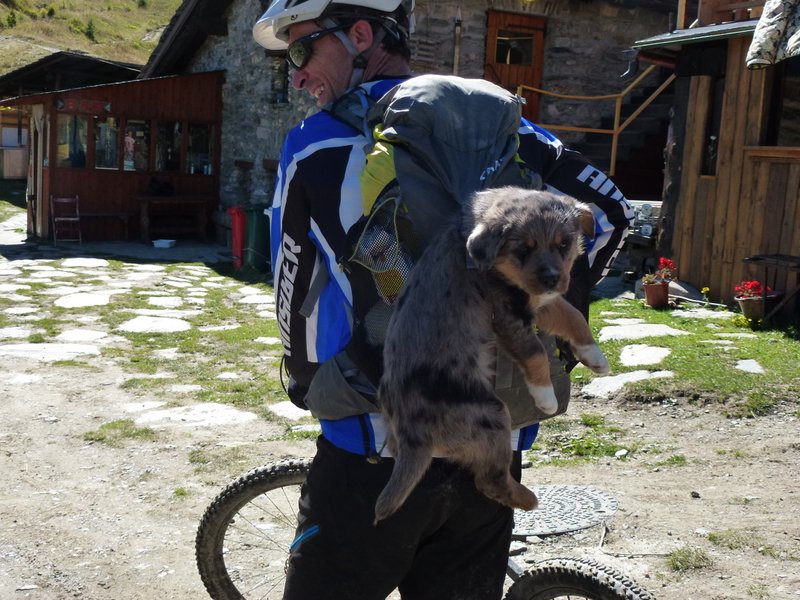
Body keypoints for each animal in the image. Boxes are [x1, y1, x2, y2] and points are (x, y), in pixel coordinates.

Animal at [376, 188, 608, 524]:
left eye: (564, 244)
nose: (552, 278)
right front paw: (546, 398)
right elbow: (535, 352)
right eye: (522, 250)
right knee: (489, 480)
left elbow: (573, 316)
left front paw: (596, 356)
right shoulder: (508, 315)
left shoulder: (537, 301)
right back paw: (529, 500)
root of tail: (412, 439)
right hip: (491, 416)